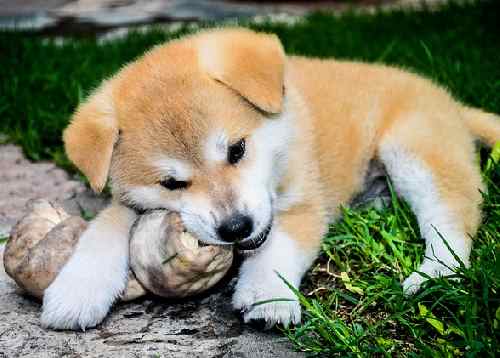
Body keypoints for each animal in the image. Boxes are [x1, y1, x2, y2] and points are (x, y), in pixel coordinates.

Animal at [40, 27, 500, 330]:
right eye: (171, 184)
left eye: (237, 150)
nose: (235, 227)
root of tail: (451, 102)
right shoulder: (128, 202)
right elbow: (104, 229)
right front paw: (78, 289)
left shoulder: (304, 203)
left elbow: (279, 246)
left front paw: (265, 295)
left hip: (414, 150)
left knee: (452, 220)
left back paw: (433, 275)